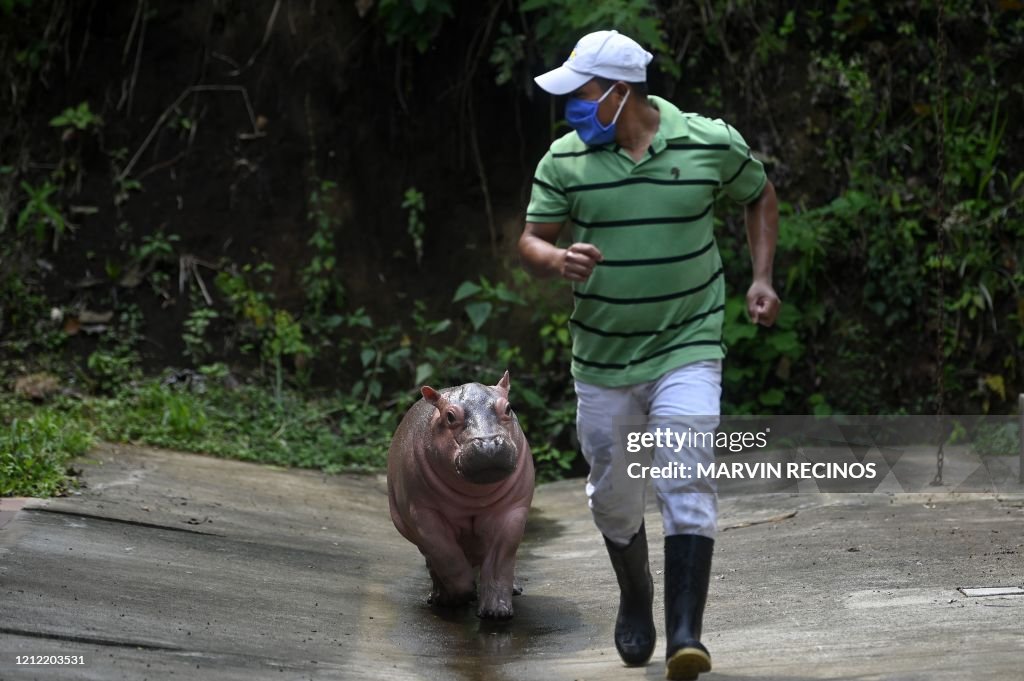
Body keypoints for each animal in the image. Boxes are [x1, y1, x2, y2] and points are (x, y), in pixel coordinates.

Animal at [385, 368, 536, 618]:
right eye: (449, 416)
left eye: (508, 408)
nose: (488, 444)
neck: (475, 497)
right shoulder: (423, 514)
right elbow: (446, 555)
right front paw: (462, 594)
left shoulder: (512, 512)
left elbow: (500, 560)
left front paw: (496, 612)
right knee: (433, 561)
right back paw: (440, 597)